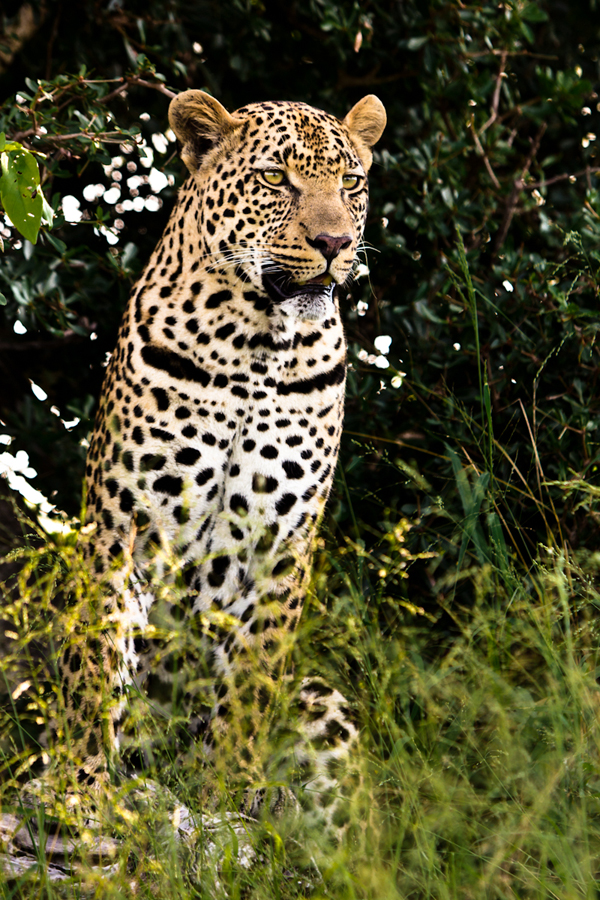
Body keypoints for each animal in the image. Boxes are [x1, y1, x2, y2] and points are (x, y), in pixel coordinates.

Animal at [57, 89, 386, 833]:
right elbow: (98, 663)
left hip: (321, 701)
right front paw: (84, 785)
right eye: (274, 179)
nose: (335, 245)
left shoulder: (283, 542)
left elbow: (250, 685)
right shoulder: (122, 525)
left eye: (350, 183)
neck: (255, 346)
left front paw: (226, 799)